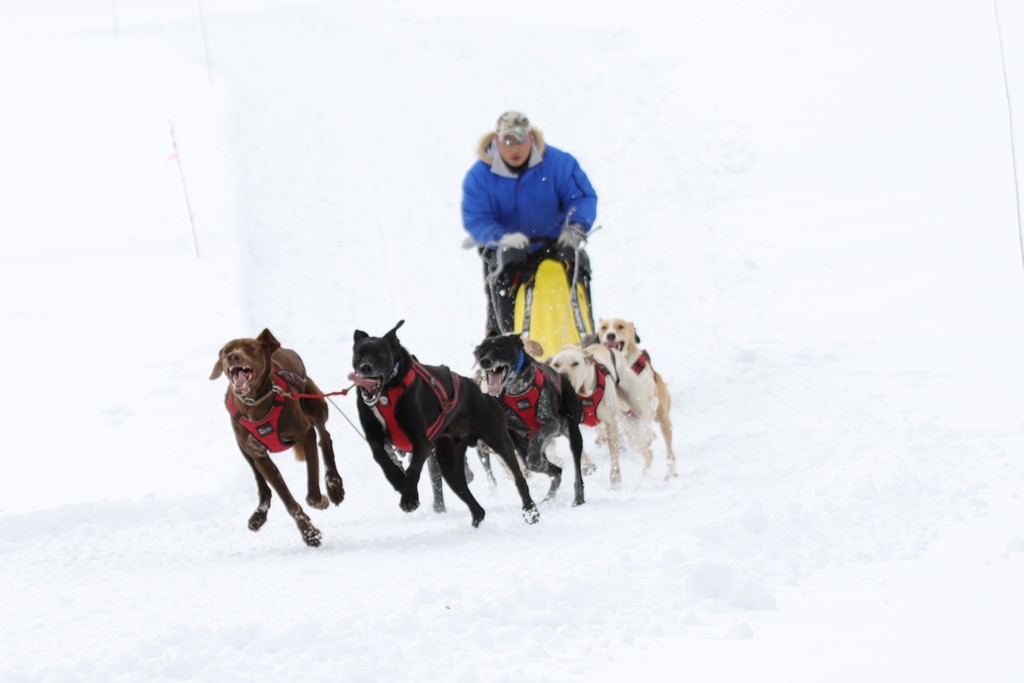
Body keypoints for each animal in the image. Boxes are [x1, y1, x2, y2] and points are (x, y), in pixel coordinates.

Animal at [209, 327, 346, 548]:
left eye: (250, 348)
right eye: (226, 351)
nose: (233, 356)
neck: (255, 403)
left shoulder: (306, 435)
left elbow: (312, 494)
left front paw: (321, 503)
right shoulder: (260, 456)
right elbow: (288, 501)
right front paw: (309, 533)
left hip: (316, 406)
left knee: (325, 438)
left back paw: (334, 486)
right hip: (244, 450)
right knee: (261, 484)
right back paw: (259, 515)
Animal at [350, 323, 540, 528]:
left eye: (380, 354)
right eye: (358, 355)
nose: (365, 368)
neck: (387, 392)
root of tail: (481, 390)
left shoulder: (421, 442)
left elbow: (413, 469)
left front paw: (409, 498)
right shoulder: (375, 439)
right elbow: (382, 459)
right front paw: (398, 481)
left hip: (498, 441)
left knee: (519, 477)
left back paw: (531, 511)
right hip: (449, 462)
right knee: (473, 502)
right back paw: (477, 520)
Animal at [471, 333, 585, 505]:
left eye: (500, 348)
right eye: (481, 351)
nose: (485, 361)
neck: (518, 392)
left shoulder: (552, 422)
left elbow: (537, 444)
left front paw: (535, 456)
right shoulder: (513, 436)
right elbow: (532, 461)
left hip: (572, 433)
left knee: (577, 472)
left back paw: (578, 498)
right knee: (556, 471)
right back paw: (549, 494)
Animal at [552, 348, 622, 485]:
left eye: (575, 363)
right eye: (556, 364)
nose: (563, 375)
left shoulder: (610, 421)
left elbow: (613, 450)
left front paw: (615, 476)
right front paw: (587, 465)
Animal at [598, 317, 675, 479]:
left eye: (620, 326)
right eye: (604, 327)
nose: (610, 335)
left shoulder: (649, 394)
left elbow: (649, 401)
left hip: (664, 422)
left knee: (669, 451)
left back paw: (670, 471)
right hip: (631, 436)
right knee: (646, 450)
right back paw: (645, 472)